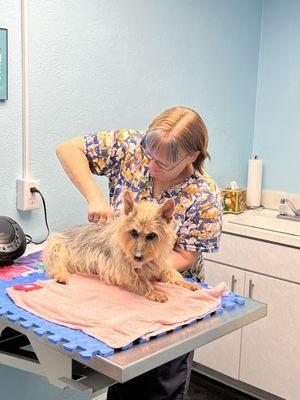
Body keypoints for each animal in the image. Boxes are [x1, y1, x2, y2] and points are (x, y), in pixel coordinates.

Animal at [42, 192, 200, 302]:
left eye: (152, 235)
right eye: (133, 232)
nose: (137, 257)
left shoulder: (161, 265)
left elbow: (174, 275)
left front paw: (188, 284)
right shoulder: (124, 272)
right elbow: (142, 281)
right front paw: (154, 292)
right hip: (58, 249)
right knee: (56, 266)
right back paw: (61, 276)